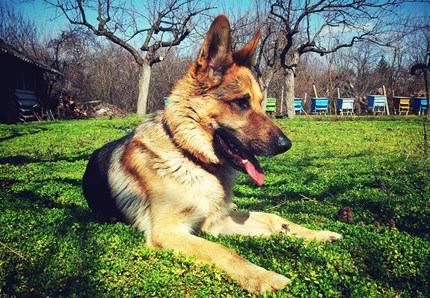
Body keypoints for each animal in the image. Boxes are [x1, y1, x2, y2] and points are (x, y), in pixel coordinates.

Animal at [82, 15, 340, 294]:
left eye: (261, 103)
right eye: (242, 102)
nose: (286, 144)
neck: (190, 157)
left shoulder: (214, 222)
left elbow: (272, 218)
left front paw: (315, 234)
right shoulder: (168, 231)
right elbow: (224, 251)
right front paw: (264, 277)